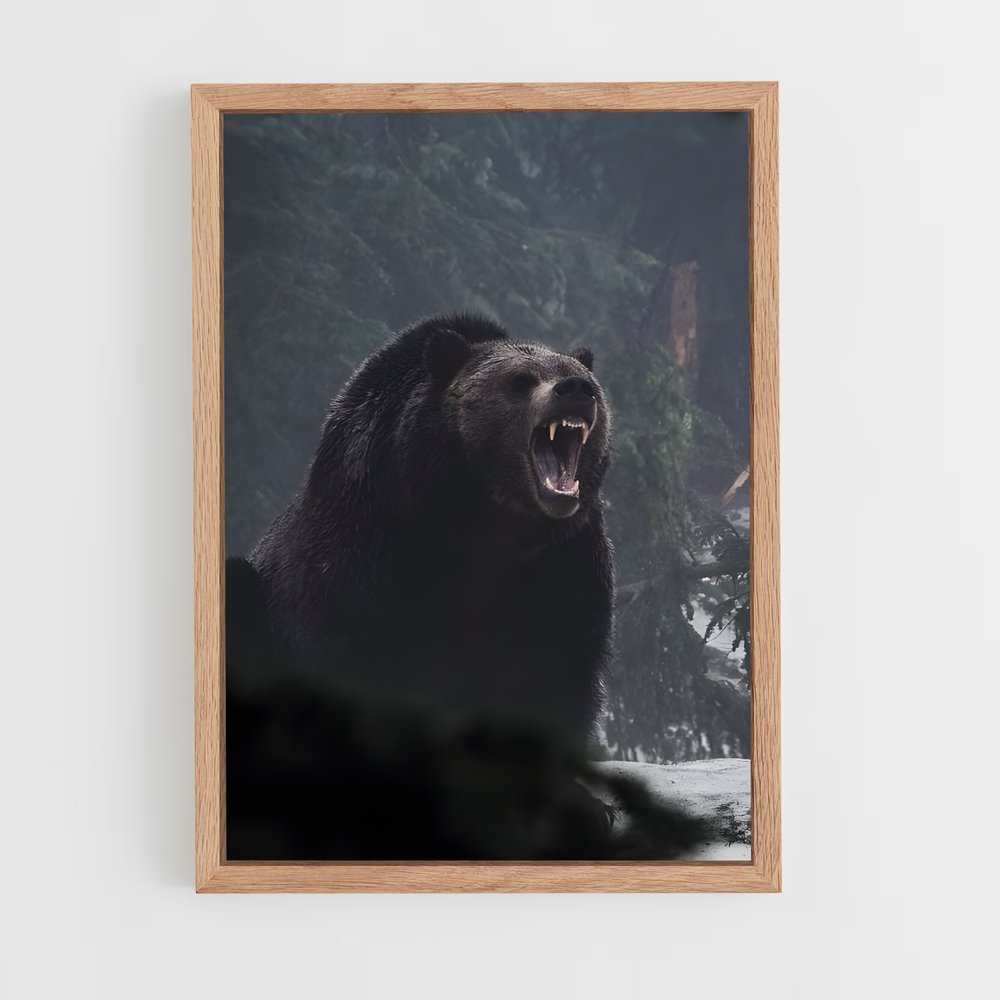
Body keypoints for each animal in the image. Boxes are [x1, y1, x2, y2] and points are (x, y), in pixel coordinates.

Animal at [243, 314, 614, 744]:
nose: (576, 390)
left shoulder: (565, 560)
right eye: (521, 380)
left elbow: (557, 671)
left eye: (582, 377)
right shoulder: (363, 535)